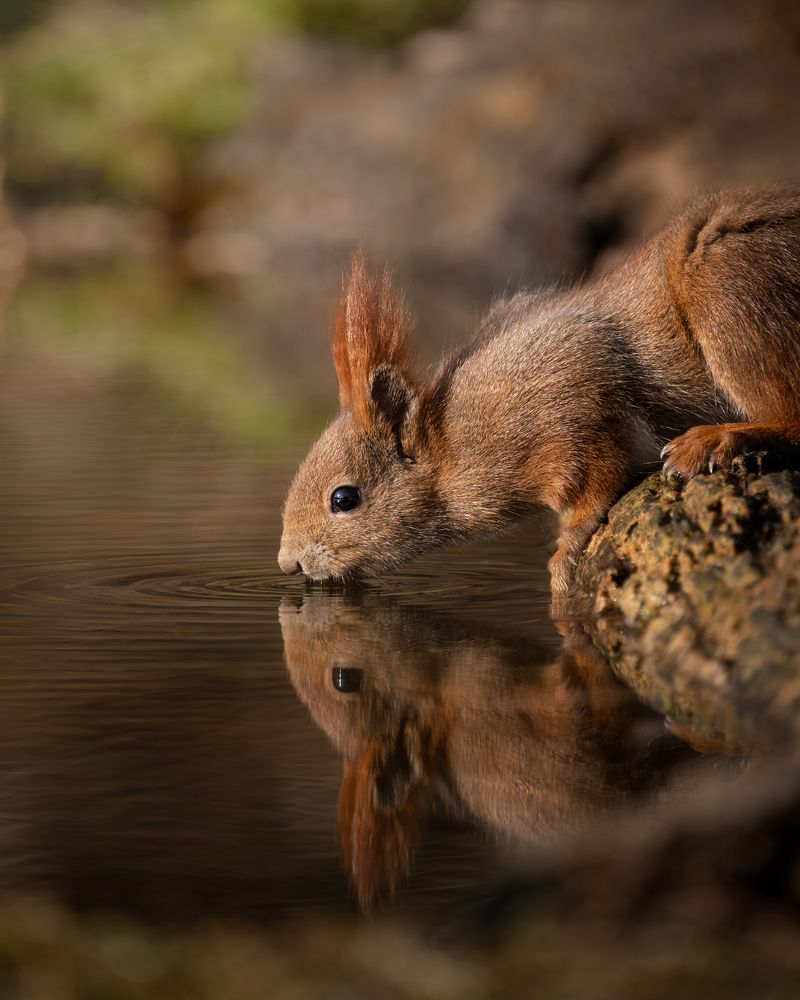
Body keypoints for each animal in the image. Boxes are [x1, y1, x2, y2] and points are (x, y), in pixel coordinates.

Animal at [279, 185, 800, 594]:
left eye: (344, 499)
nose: (289, 563)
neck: (454, 439)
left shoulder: (574, 392)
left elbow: (597, 477)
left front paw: (568, 549)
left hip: (730, 287)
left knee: (791, 418)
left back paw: (719, 438)